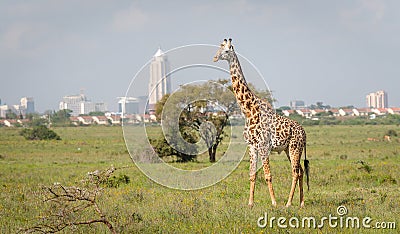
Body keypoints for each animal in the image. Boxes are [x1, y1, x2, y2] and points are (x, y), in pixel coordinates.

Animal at [212, 38, 310, 208]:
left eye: (226, 50)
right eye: (219, 48)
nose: (215, 58)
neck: (249, 110)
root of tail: (304, 133)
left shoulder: (264, 146)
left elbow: (268, 175)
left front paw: (274, 203)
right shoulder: (251, 146)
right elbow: (252, 174)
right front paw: (250, 203)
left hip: (294, 148)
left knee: (295, 172)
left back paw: (288, 203)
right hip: (288, 149)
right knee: (301, 171)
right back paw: (301, 203)